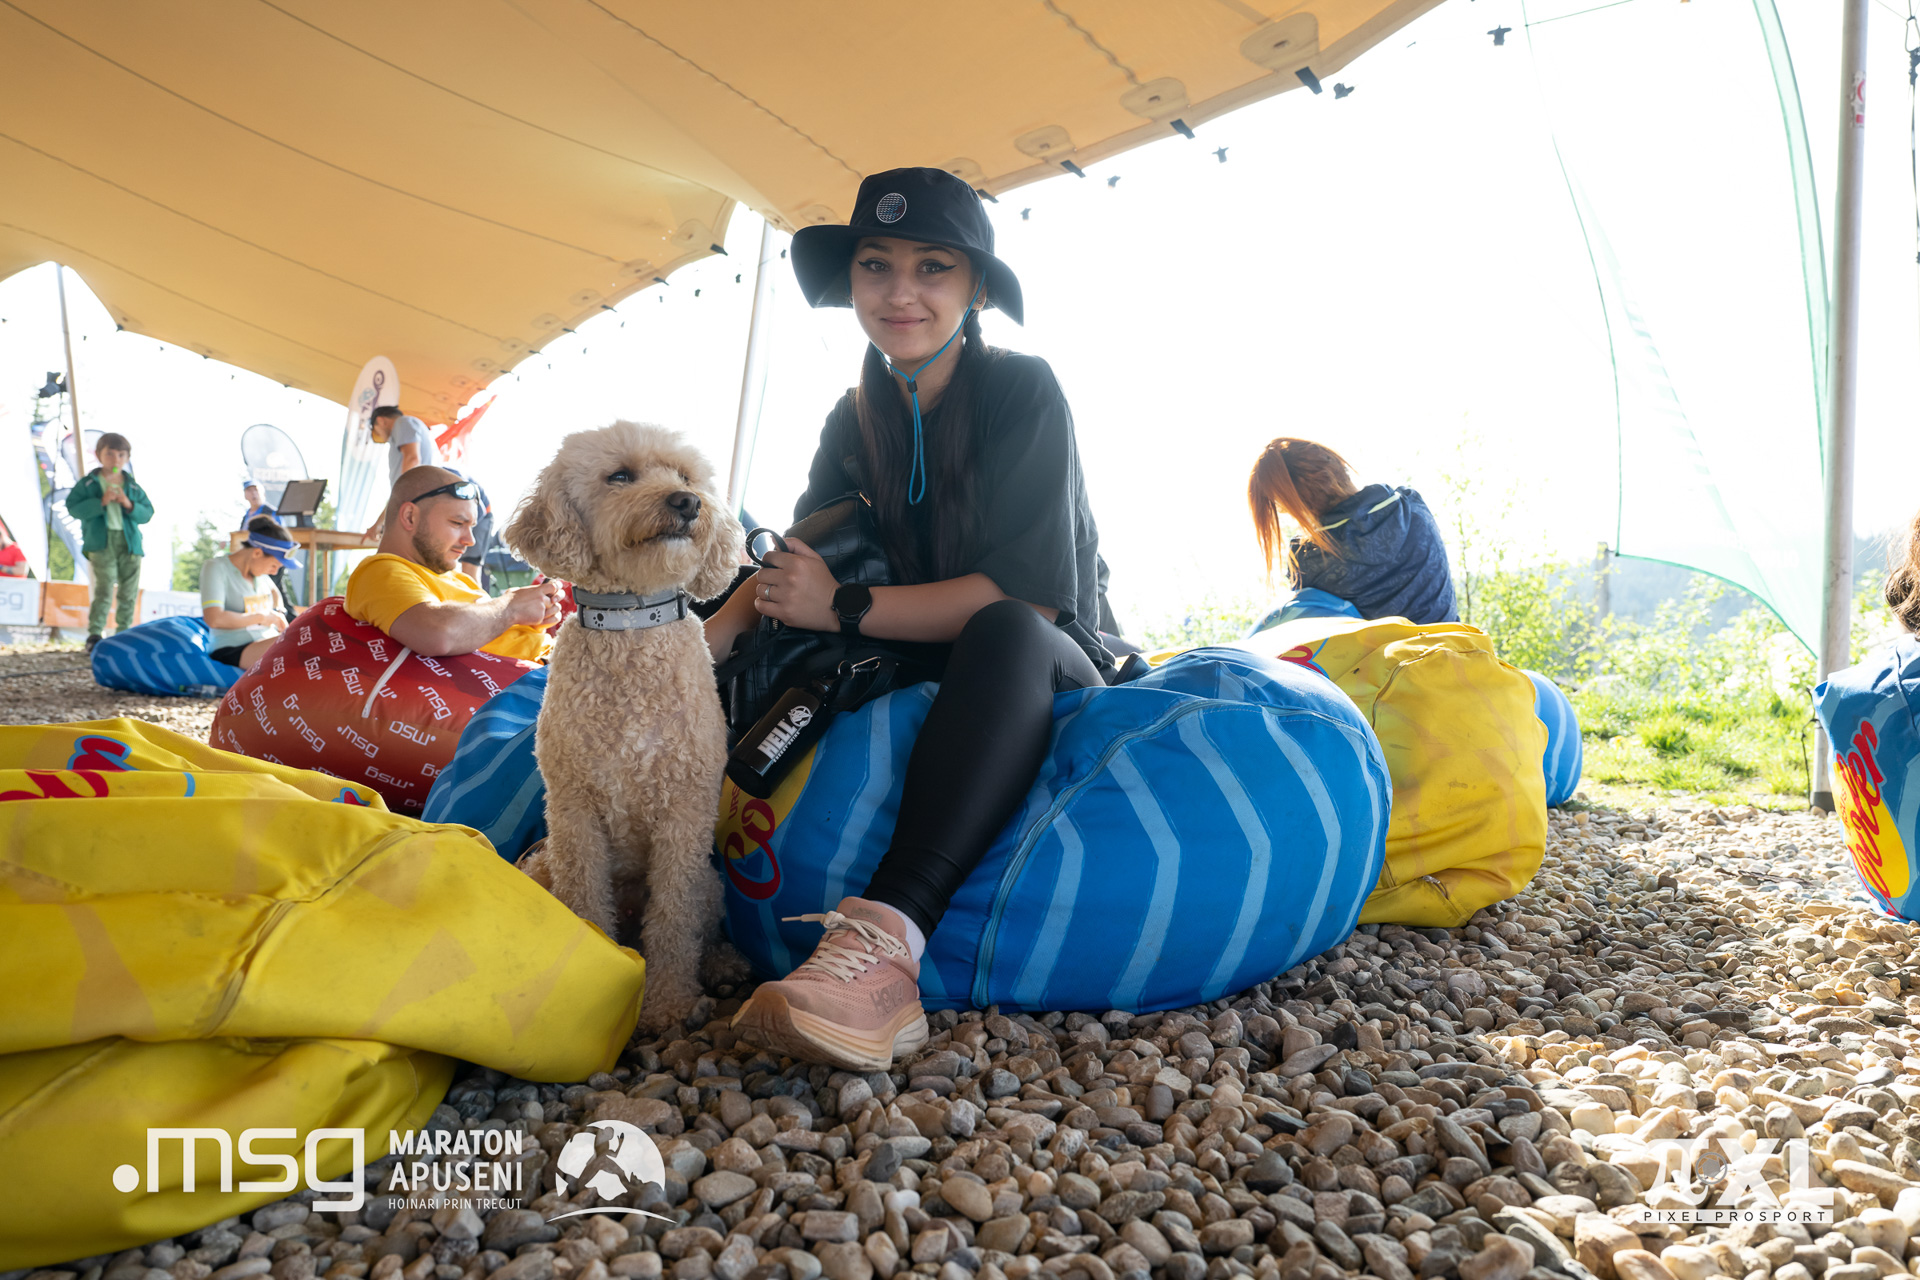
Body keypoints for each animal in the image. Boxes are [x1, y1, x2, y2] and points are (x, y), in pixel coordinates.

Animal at [505, 421, 746, 1032]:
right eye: (619, 476)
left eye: (686, 475)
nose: (687, 502)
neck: (632, 626)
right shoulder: (574, 811)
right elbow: (585, 903)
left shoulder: (685, 812)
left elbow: (675, 919)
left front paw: (668, 1004)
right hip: (543, 864)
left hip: (711, 883)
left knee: (700, 925)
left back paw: (724, 964)